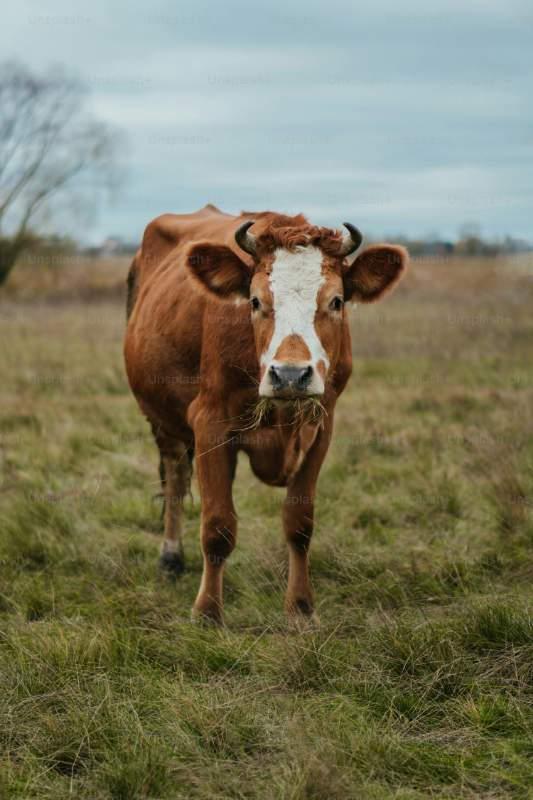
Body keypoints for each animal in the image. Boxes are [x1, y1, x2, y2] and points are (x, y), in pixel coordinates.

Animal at [124, 204, 407, 625]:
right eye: (255, 301)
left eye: (337, 301)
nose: (290, 374)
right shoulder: (210, 424)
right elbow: (218, 525)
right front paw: (207, 611)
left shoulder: (322, 426)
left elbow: (299, 523)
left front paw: (301, 607)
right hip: (161, 418)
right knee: (174, 476)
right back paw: (171, 557)